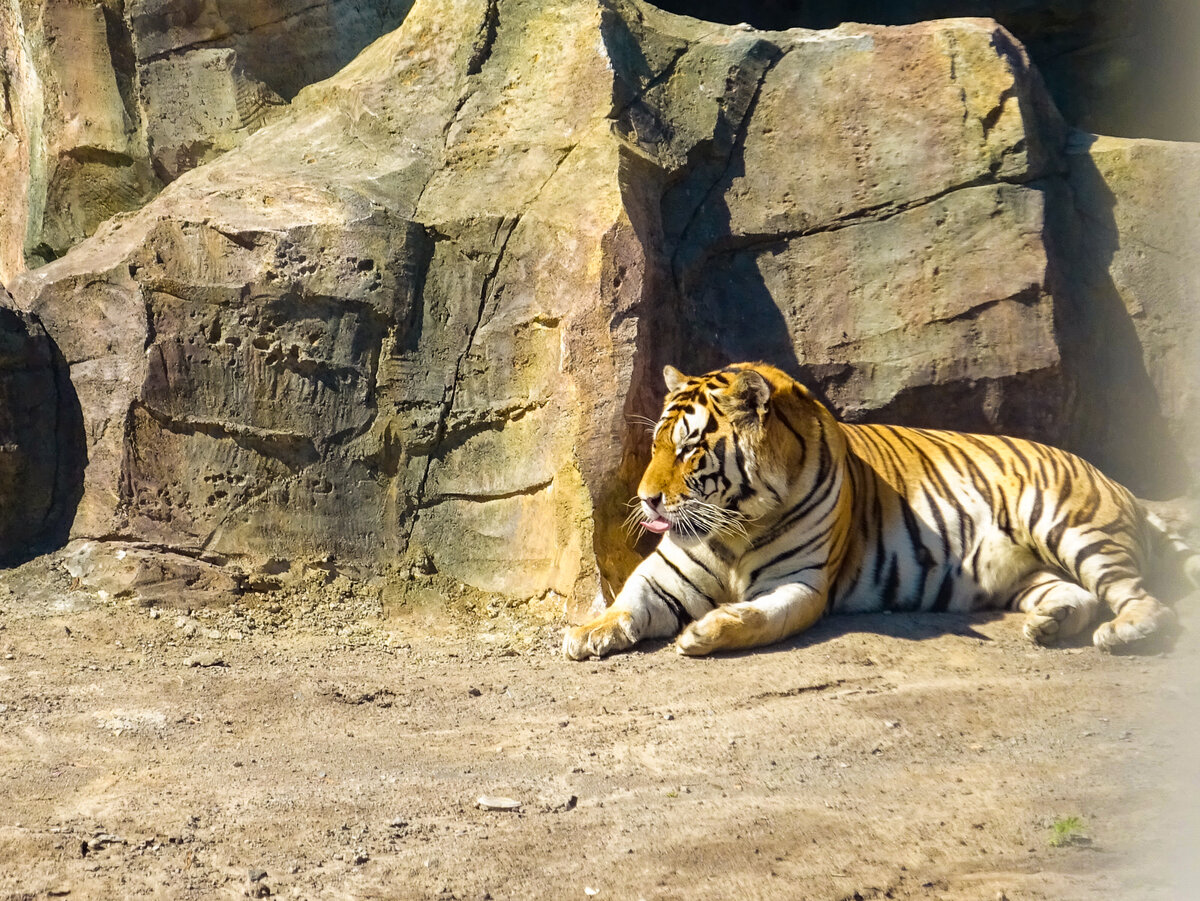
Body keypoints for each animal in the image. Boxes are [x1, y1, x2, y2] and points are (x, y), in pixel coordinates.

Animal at [563, 362, 1196, 660]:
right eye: (655, 445)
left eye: (690, 448)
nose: (646, 498)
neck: (735, 524)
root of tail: (1110, 478)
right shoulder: (667, 574)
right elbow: (629, 603)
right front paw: (586, 633)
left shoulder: (802, 586)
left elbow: (759, 617)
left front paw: (706, 630)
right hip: (1032, 571)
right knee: (1078, 596)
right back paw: (1048, 626)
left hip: (1071, 528)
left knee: (1144, 600)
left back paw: (1125, 632)